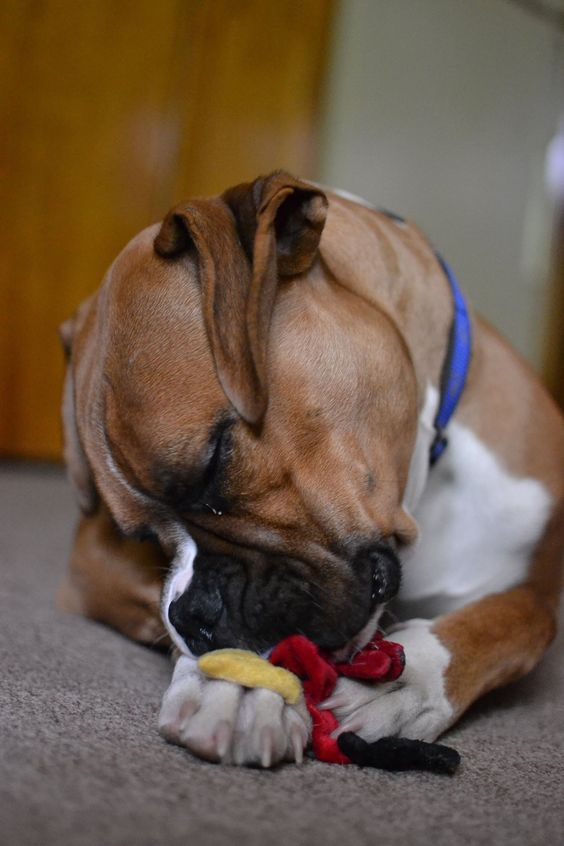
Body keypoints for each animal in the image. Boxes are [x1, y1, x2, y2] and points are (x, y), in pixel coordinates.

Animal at [59, 171, 560, 768]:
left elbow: (513, 623)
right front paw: (238, 685)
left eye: (213, 464)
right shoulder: (92, 559)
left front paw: (408, 677)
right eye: (139, 535)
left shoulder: (535, 588)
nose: (195, 614)